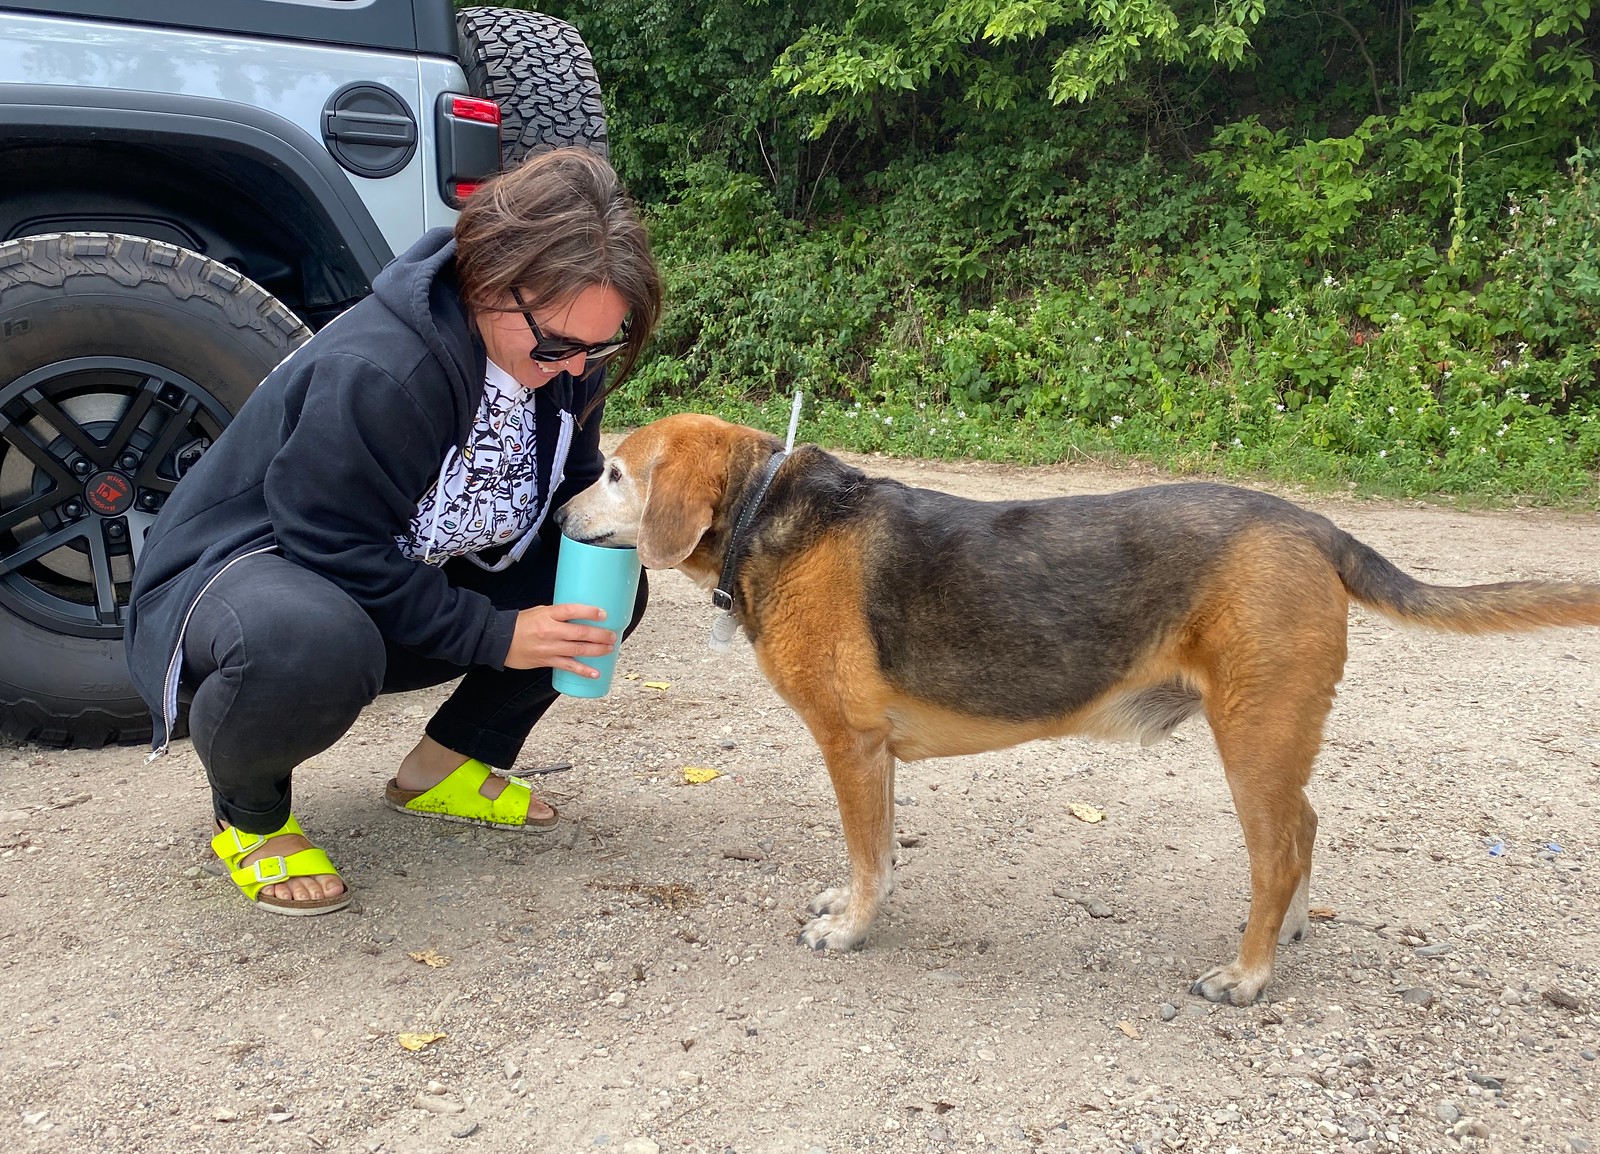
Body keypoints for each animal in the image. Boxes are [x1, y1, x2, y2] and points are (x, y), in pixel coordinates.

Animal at [556, 412, 1600, 1004]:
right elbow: (879, 851)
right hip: (1275, 738)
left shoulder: (848, 746)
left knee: (1282, 848)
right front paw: (850, 902)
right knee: (1308, 826)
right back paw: (1291, 934)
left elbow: (868, 861)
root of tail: (1315, 525)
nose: (556, 515)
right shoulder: (876, 757)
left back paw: (1250, 973)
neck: (770, 513)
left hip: (1252, 741)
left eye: (611, 471)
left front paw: (850, 931)